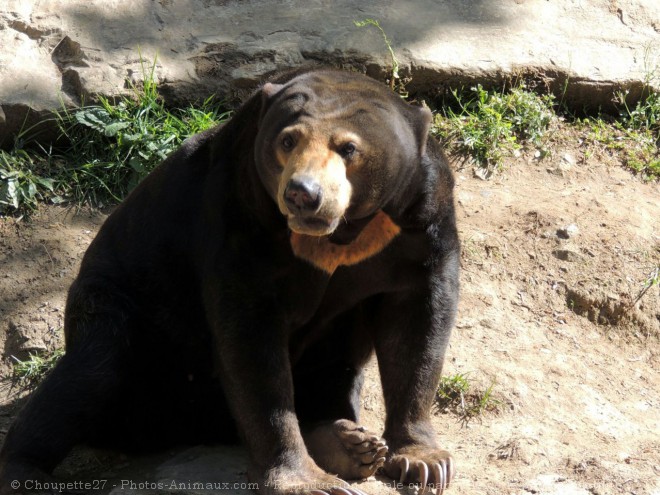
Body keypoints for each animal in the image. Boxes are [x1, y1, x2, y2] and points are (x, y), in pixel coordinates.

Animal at [0, 69, 458, 495]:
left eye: (348, 148)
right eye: (287, 141)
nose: (302, 194)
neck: (338, 237)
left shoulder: (419, 220)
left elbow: (417, 326)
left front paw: (424, 462)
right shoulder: (239, 215)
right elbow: (252, 346)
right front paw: (309, 481)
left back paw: (351, 444)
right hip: (117, 309)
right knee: (91, 372)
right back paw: (24, 469)